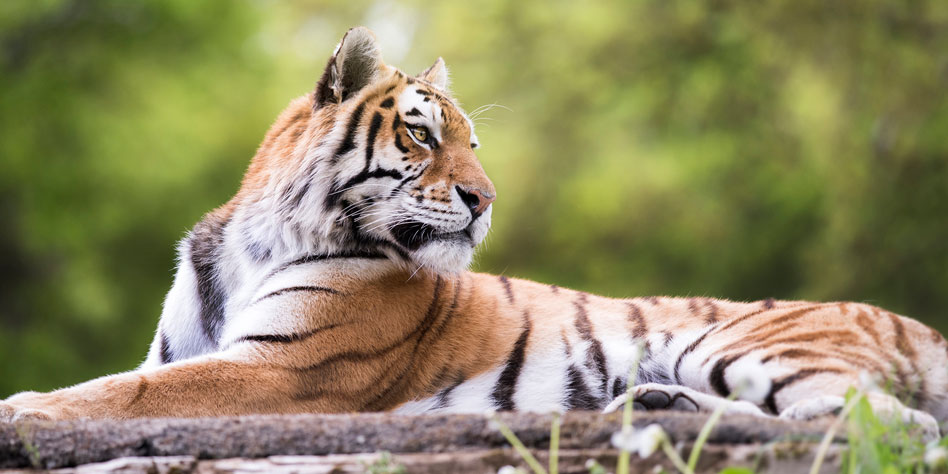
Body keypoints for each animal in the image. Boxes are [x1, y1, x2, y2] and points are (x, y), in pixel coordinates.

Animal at [1, 26, 948, 440]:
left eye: (473, 145)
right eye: (422, 135)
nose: (486, 199)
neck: (255, 243)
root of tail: (918, 323)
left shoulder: (286, 368)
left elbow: (123, 394)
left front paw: (23, 408)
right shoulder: (199, 353)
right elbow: (127, 381)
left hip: (740, 342)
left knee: (885, 421)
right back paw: (655, 405)